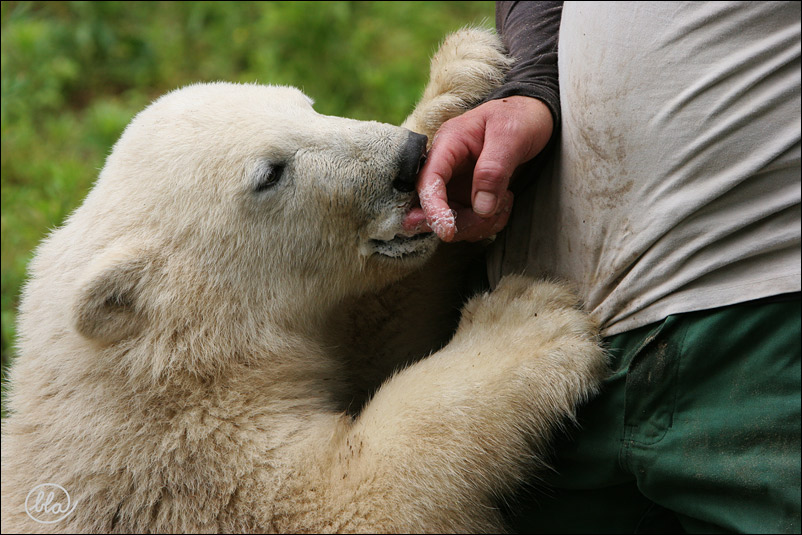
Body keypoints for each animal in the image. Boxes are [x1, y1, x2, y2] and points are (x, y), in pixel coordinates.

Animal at [0, 28, 600, 532]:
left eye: (306, 104)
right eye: (271, 173)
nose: (407, 161)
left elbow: (375, 326)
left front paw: (463, 78)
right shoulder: (195, 473)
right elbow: (348, 498)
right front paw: (528, 325)